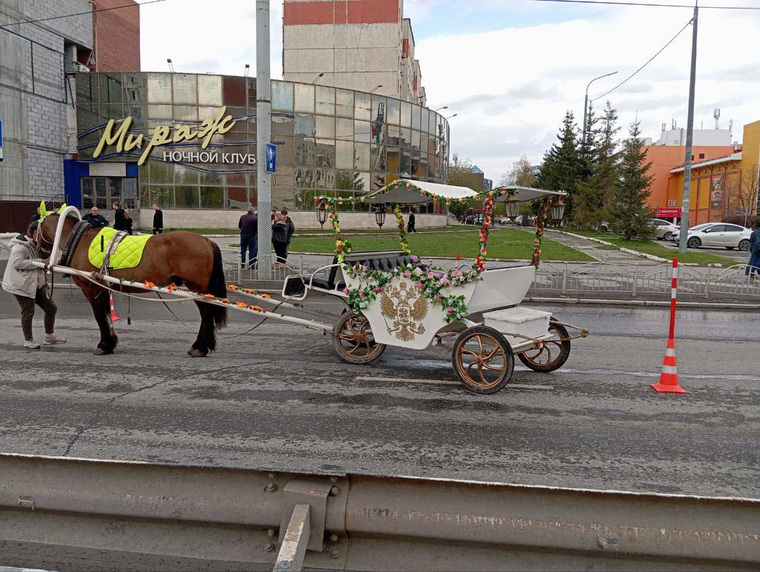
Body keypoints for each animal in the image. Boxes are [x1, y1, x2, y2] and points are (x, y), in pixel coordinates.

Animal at [38, 214, 227, 358]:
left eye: (35, 229)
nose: (40, 253)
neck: (80, 240)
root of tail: (206, 240)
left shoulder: (91, 288)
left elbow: (99, 316)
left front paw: (103, 344)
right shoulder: (103, 288)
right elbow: (106, 315)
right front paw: (110, 343)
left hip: (197, 288)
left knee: (206, 314)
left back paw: (200, 347)